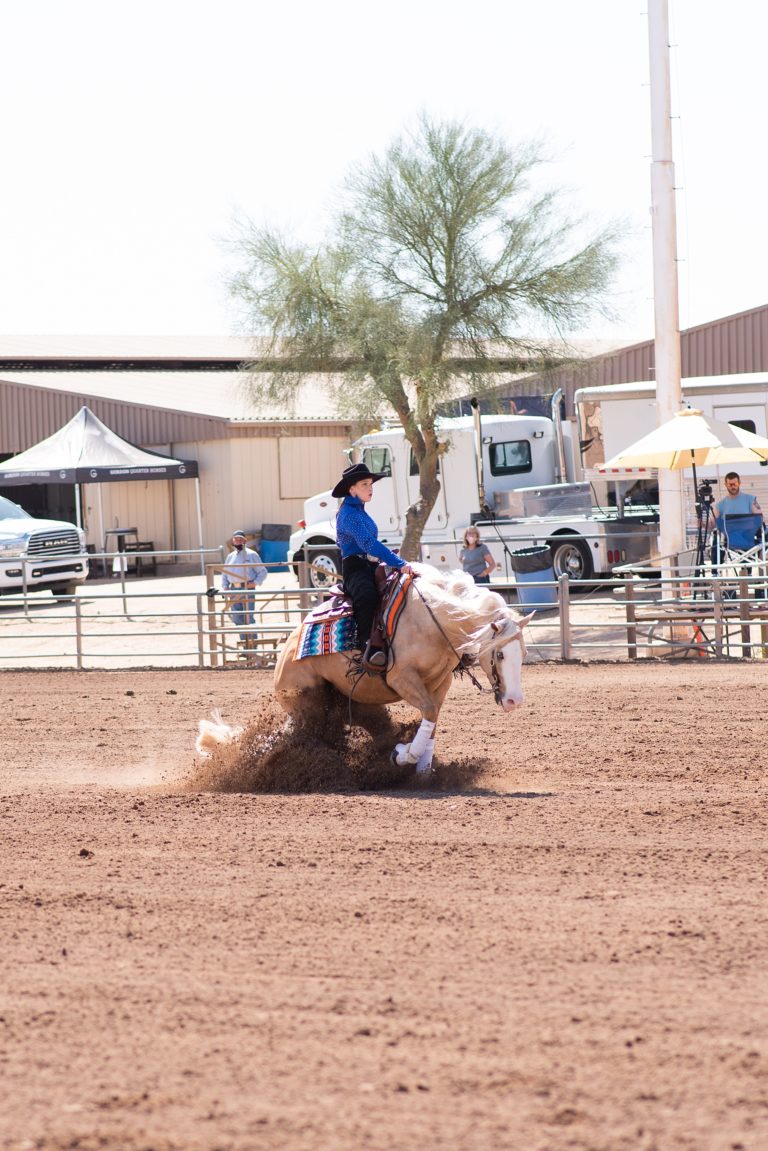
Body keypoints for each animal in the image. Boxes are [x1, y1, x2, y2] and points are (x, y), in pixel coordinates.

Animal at [271, 563, 534, 773]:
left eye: (523, 653)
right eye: (499, 654)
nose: (514, 701)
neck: (434, 620)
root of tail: (285, 653)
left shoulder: (440, 682)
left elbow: (432, 719)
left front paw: (423, 771)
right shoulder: (401, 679)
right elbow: (428, 712)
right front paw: (403, 755)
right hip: (306, 703)